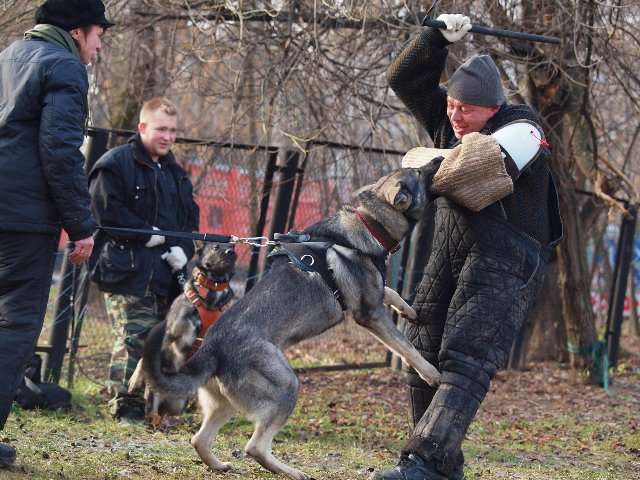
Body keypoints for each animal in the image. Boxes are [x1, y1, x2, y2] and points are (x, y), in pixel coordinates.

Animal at [140, 166, 440, 480]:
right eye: (420, 173)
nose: (438, 159)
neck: (368, 223)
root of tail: (212, 350)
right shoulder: (370, 314)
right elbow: (405, 347)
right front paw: (432, 374)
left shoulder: (372, 297)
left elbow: (390, 291)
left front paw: (408, 310)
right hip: (286, 385)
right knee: (255, 447)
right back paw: (293, 472)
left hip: (227, 403)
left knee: (199, 439)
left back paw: (220, 465)